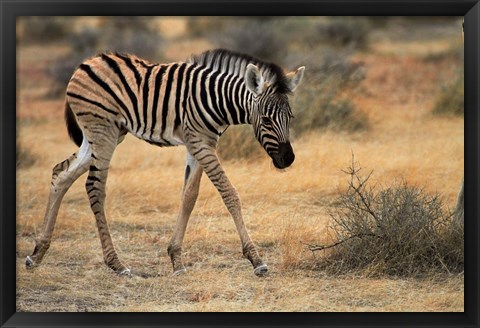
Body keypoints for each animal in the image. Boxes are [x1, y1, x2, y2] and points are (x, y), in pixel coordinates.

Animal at [25, 48, 304, 276]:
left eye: (290, 117)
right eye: (266, 120)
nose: (288, 159)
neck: (217, 99)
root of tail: (86, 63)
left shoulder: (200, 143)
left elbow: (189, 196)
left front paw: (176, 260)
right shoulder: (201, 144)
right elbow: (229, 193)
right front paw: (256, 259)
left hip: (102, 136)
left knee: (61, 174)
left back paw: (37, 253)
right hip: (103, 131)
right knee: (94, 187)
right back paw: (116, 264)